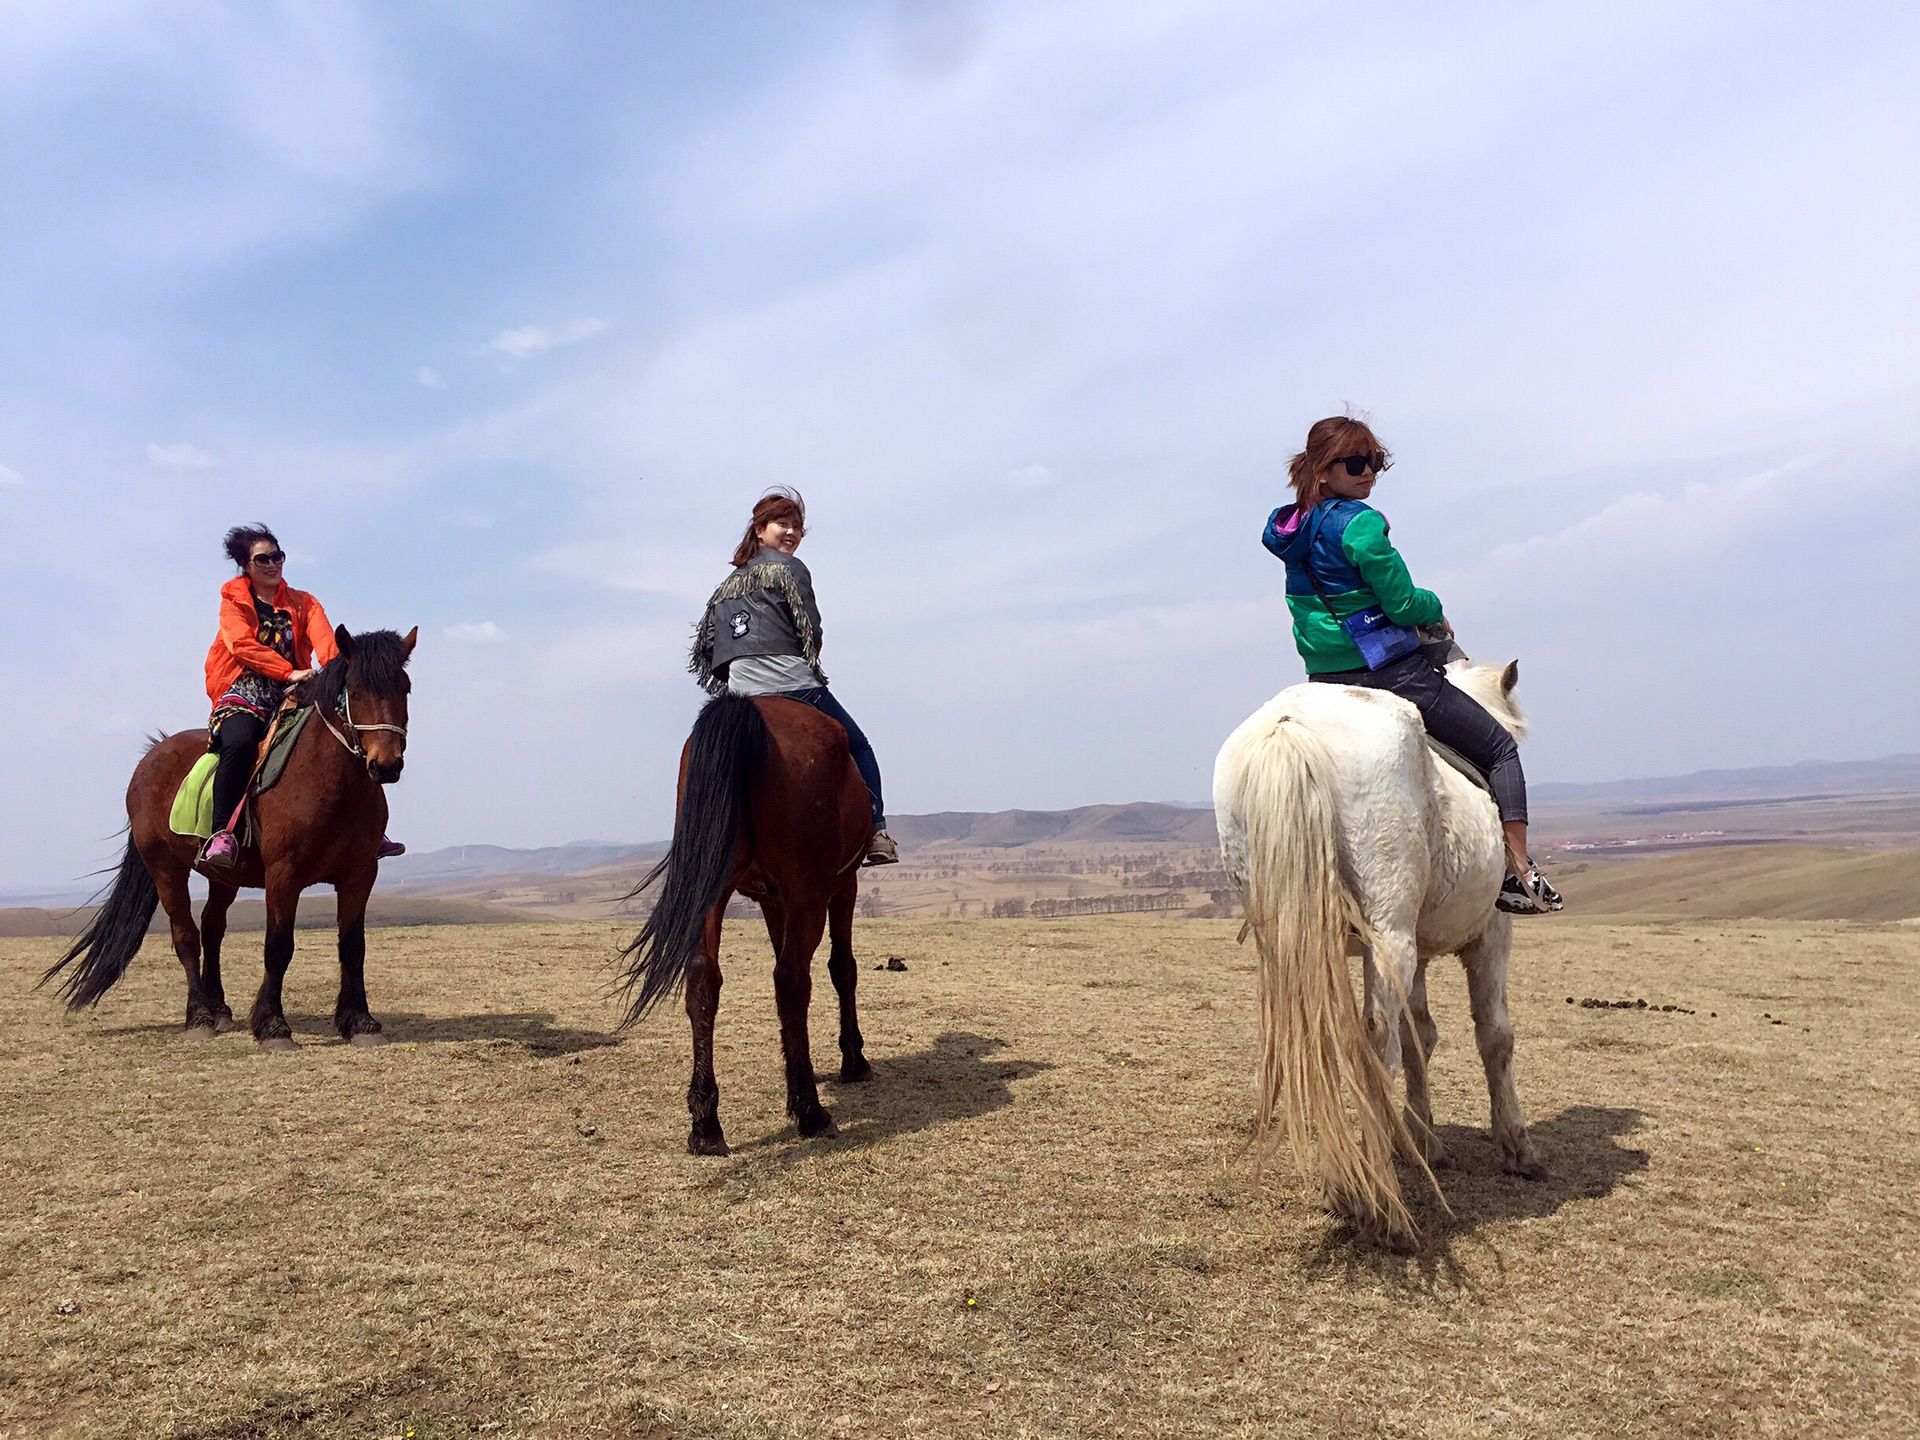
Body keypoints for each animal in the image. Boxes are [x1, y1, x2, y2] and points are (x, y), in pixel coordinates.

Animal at [44, 625, 416, 1052]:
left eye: (404, 687)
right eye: (354, 689)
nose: (385, 765)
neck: (330, 784)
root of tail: (149, 758)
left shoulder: (359, 875)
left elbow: (352, 947)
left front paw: (359, 1021)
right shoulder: (283, 876)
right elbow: (278, 947)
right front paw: (273, 1026)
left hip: (225, 876)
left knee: (212, 929)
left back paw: (218, 1008)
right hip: (165, 869)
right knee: (187, 936)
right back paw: (199, 1016)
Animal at [618, 695, 875, 1159]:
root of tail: (744, 709)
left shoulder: (773, 899)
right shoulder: (843, 884)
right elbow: (843, 968)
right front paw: (852, 1060)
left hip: (712, 887)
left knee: (704, 979)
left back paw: (706, 1123)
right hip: (809, 889)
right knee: (792, 978)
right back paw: (810, 1111)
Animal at [1213, 660, 1543, 1244]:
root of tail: (1289, 726)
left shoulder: (1416, 952)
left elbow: (1422, 1038)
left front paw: (1423, 1142)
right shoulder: (1491, 934)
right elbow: (1494, 1036)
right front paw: (1517, 1148)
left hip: (1300, 943)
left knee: (1321, 1040)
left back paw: (1344, 1185)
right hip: (1388, 936)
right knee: (1374, 1040)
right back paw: (1384, 1209)